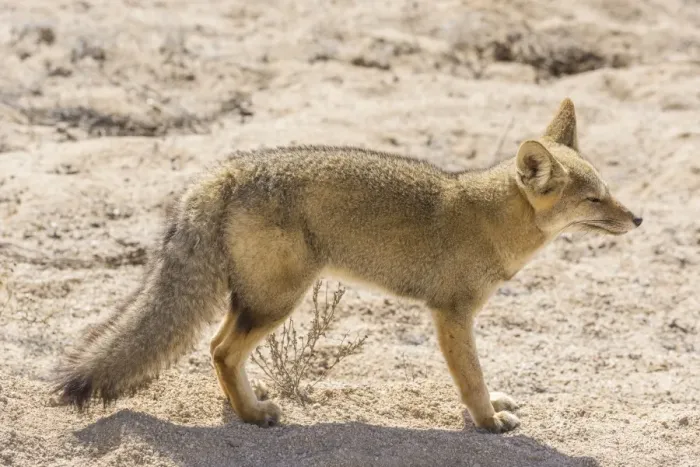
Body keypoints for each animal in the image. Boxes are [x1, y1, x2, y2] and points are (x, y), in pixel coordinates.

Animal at [53, 98, 642, 433]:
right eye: (593, 200)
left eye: (608, 191)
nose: (637, 217)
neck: (490, 218)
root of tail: (224, 172)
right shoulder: (451, 314)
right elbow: (471, 378)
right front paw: (487, 421)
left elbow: (480, 375)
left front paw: (492, 407)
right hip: (278, 301)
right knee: (220, 350)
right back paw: (253, 417)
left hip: (256, 300)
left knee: (218, 348)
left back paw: (245, 406)